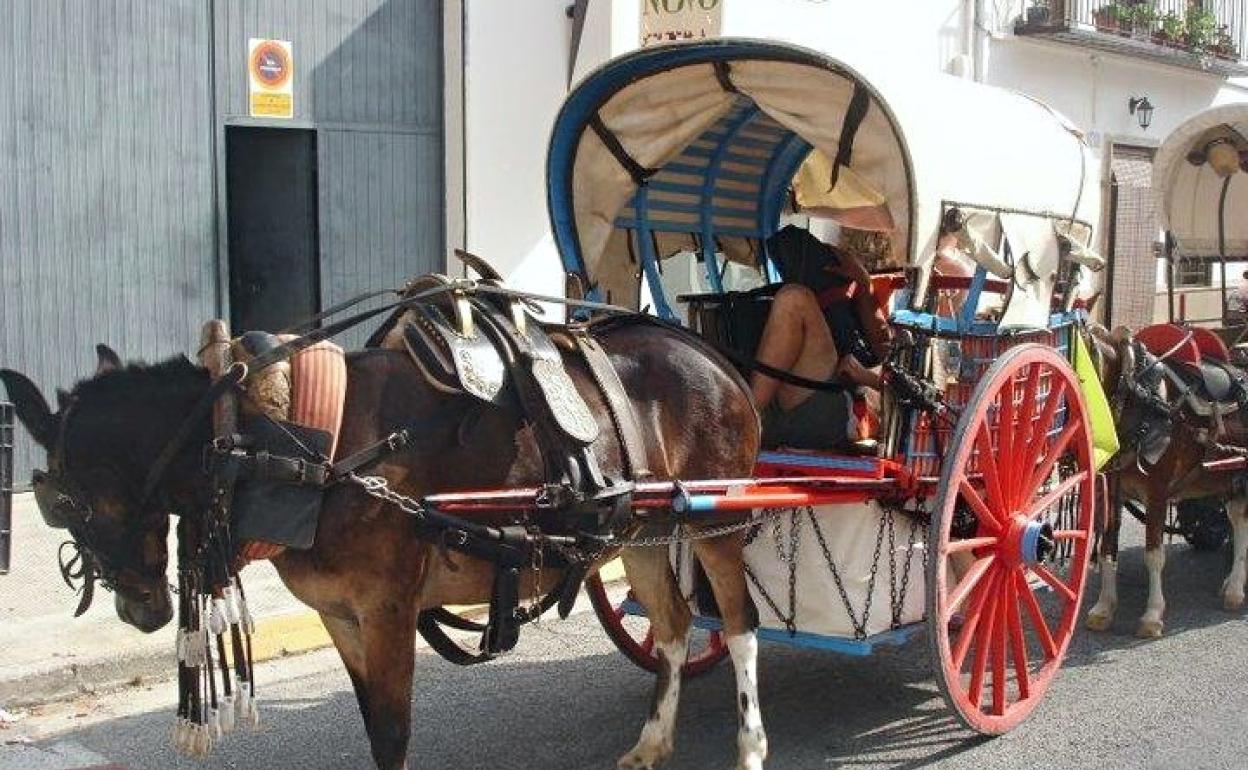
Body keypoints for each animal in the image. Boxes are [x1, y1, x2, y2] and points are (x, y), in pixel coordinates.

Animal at [2, 315, 768, 768]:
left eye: (68, 504)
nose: (138, 610)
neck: (280, 442)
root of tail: (709, 353)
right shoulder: (340, 614)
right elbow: (374, 725)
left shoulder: (388, 608)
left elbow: (396, 729)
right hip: (645, 529)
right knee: (673, 627)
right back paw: (653, 741)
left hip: (715, 525)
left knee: (737, 626)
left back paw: (750, 745)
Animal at [1083, 324, 1248, 636]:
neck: (1141, 401)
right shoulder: (1112, 491)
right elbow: (1107, 550)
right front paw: (1103, 607)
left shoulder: (1157, 493)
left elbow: (1154, 556)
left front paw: (1152, 614)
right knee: (1238, 520)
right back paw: (1232, 584)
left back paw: (1235, 588)